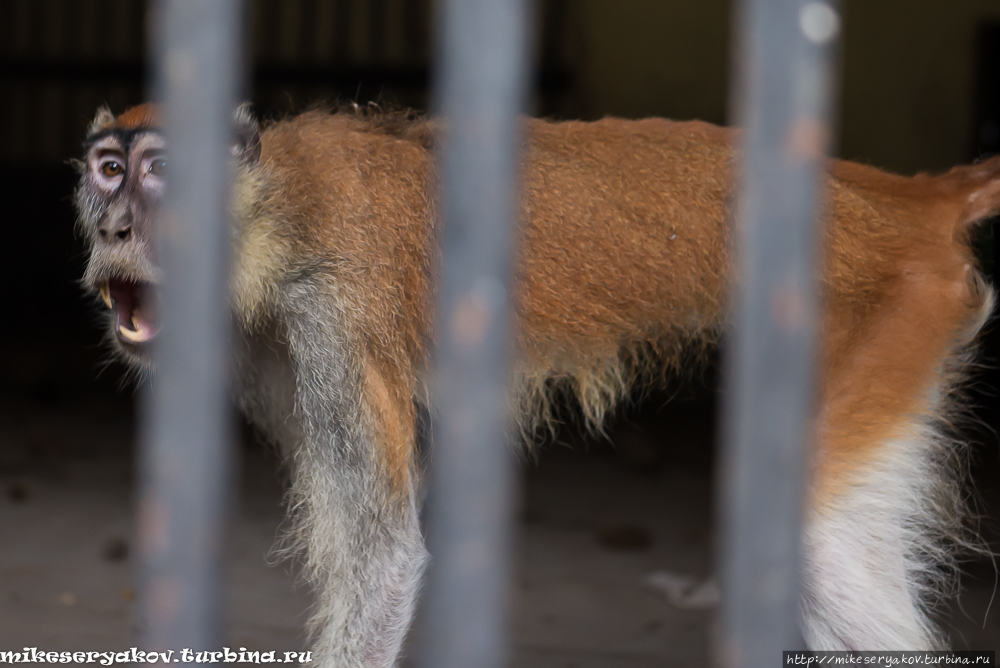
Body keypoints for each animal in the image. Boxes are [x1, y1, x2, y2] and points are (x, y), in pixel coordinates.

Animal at [74, 103, 1000, 664]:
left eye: (156, 172)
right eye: (108, 171)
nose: (114, 225)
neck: (269, 206)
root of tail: (910, 200)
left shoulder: (330, 312)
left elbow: (386, 562)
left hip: (905, 301)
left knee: (814, 542)